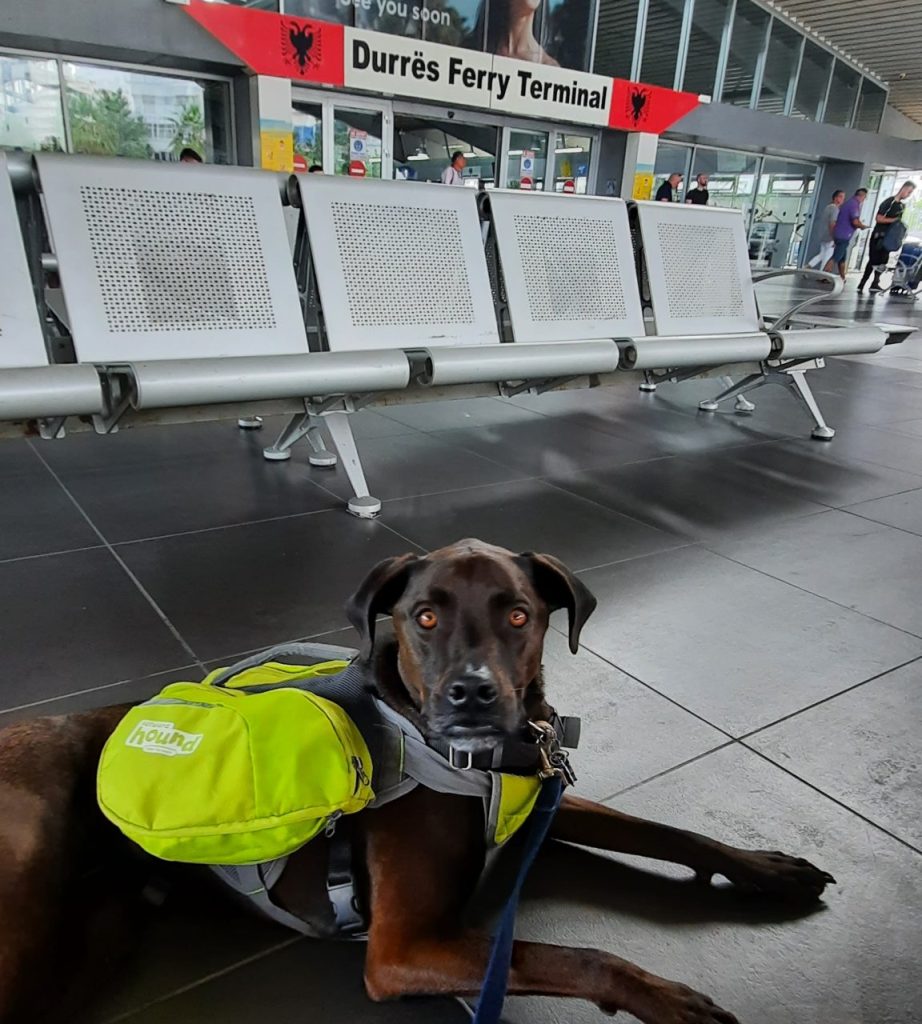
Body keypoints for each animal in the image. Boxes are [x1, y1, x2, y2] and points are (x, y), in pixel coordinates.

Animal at [1, 540, 835, 1019]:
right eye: (425, 618)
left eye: (520, 615)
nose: (472, 694)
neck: (478, 762)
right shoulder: (402, 950)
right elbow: (575, 956)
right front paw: (668, 999)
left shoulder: (545, 795)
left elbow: (670, 832)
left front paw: (764, 867)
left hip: (94, 937)